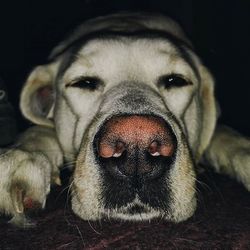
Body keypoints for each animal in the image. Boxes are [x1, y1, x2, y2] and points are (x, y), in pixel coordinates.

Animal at [0, 11, 250, 228]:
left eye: (176, 80)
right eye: (83, 82)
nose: (136, 146)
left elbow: (223, 133)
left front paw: (242, 152)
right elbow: (39, 129)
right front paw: (23, 156)